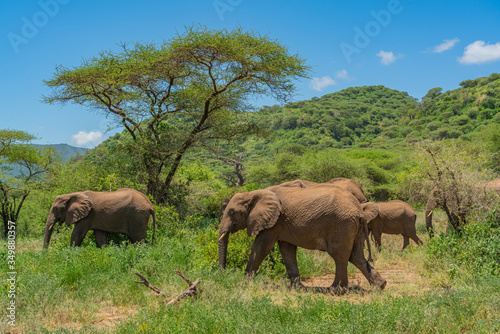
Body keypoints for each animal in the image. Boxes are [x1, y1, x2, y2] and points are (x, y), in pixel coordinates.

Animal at [216, 184, 386, 290]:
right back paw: (380, 285)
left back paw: (335, 290)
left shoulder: (274, 221)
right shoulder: (282, 223)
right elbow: (287, 250)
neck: (254, 193)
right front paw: (297, 287)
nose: (222, 273)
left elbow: (261, 246)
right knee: (356, 256)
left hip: (342, 224)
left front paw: (244, 283)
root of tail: (359, 210)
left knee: (340, 255)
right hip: (352, 227)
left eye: (232, 212)